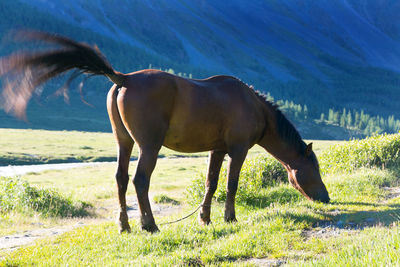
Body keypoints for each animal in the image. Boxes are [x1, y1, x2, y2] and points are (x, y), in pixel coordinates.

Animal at [0, 32, 328, 233]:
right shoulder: (237, 151)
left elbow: (211, 184)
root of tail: (124, 79)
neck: (252, 105)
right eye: (314, 168)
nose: (326, 197)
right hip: (149, 147)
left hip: (124, 143)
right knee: (140, 181)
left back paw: (125, 226)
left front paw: (205, 219)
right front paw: (230, 218)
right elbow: (231, 184)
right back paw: (149, 225)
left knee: (121, 179)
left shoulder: (217, 150)